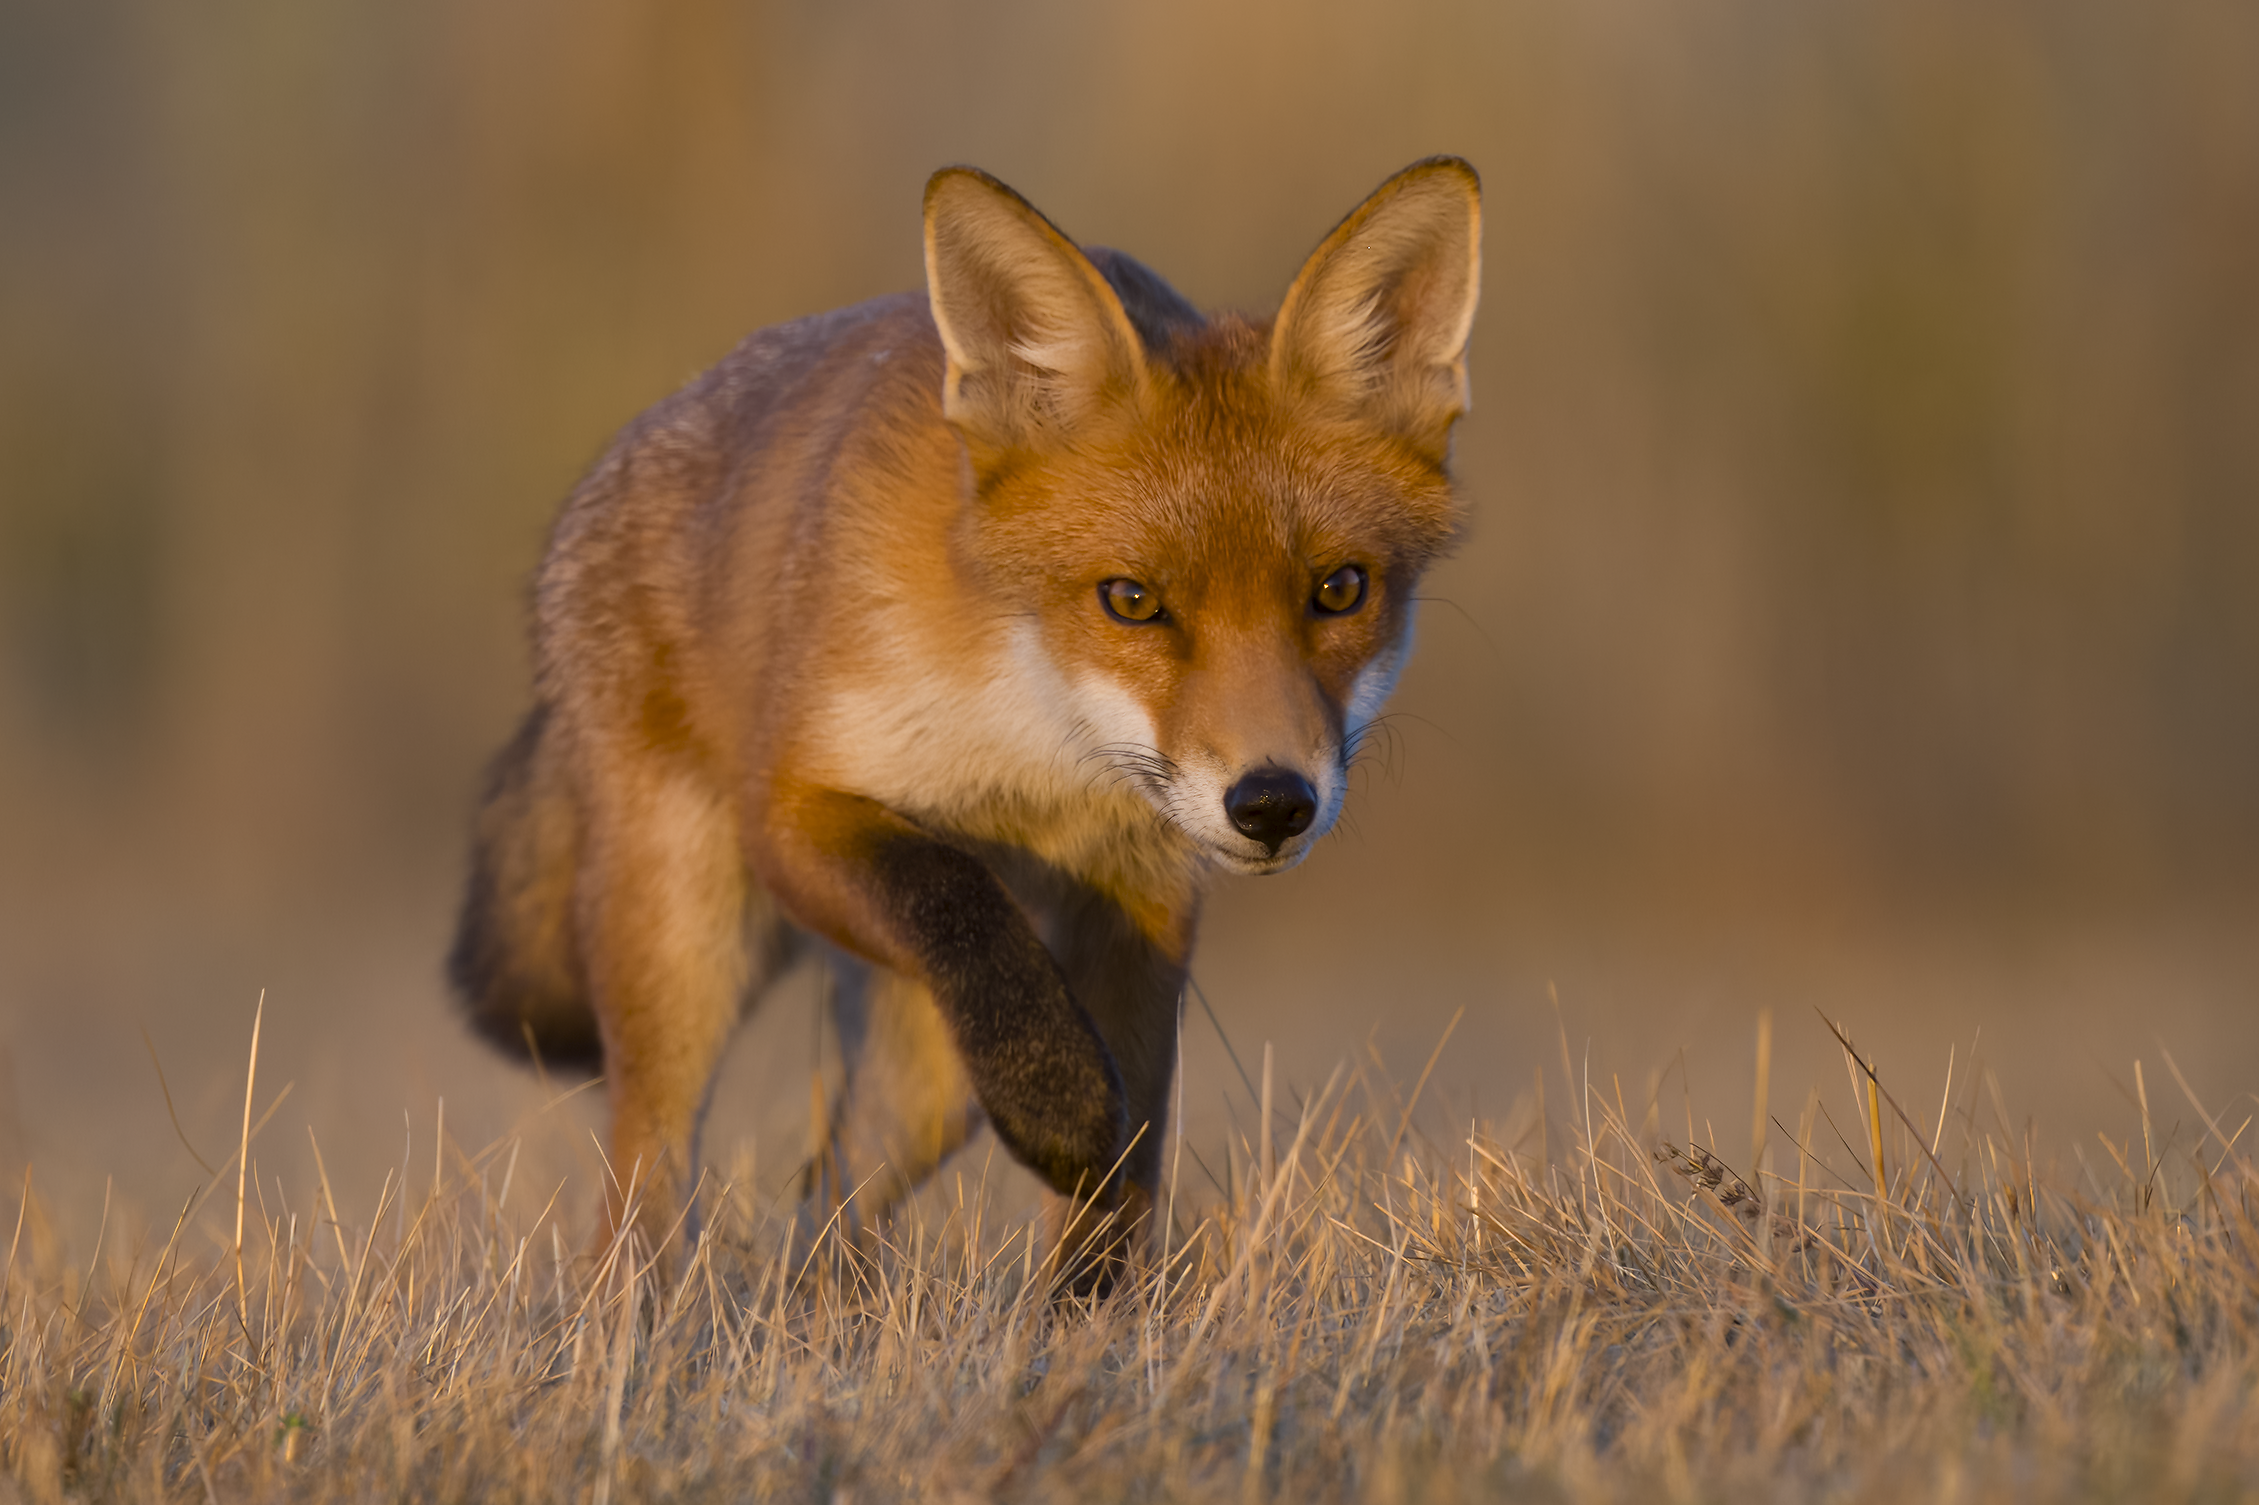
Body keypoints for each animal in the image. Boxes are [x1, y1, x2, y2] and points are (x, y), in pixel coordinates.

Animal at [449, 156, 1481, 1288]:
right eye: (1131, 601)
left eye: (1339, 590)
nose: (1272, 804)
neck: (1036, 746)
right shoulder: (798, 808)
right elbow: (953, 894)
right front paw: (1057, 1108)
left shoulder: (1147, 896)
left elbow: (1129, 1160)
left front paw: (1091, 1318)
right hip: (682, 946)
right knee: (643, 1182)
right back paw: (639, 1315)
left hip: (922, 1086)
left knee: (823, 1203)